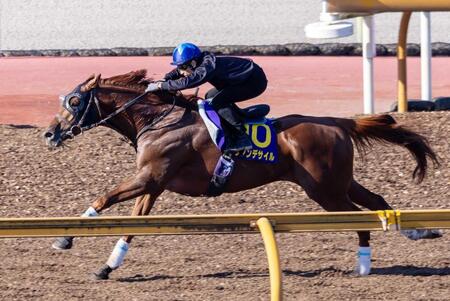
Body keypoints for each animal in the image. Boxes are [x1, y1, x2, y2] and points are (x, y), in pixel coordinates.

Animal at [44, 69, 440, 278]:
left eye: (75, 102)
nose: (49, 133)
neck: (157, 120)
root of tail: (338, 122)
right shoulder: (153, 184)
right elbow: (132, 225)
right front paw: (107, 267)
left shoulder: (149, 178)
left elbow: (103, 197)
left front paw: (64, 238)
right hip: (338, 182)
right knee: (376, 200)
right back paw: (418, 230)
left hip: (324, 191)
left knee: (359, 217)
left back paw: (364, 263)